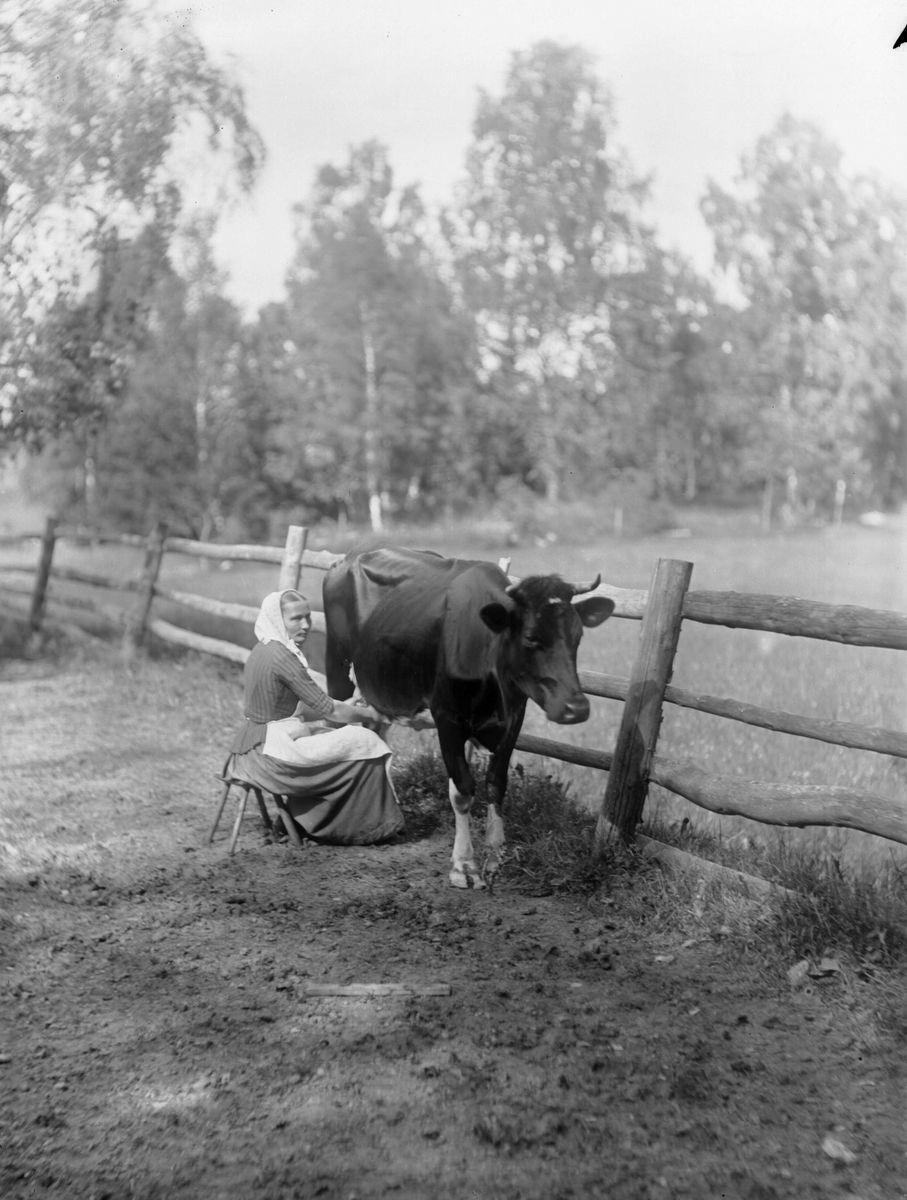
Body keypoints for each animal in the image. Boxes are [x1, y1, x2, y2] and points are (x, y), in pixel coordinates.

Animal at [321, 549, 611, 888]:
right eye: (530, 637)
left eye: (578, 635)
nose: (576, 708)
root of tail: (350, 557)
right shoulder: (446, 716)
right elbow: (461, 789)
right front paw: (464, 866)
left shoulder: (514, 716)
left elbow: (496, 783)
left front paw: (495, 856)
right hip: (337, 670)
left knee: (376, 732)